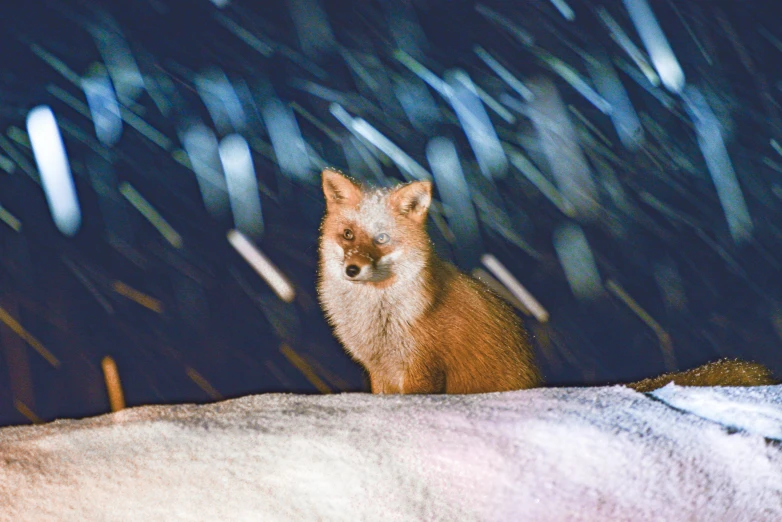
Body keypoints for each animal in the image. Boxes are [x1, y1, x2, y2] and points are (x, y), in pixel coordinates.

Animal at [318, 169, 776, 392]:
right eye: (348, 235)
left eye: (381, 239)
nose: (353, 270)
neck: (379, 316)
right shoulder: (379, 370)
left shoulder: (422, 369)